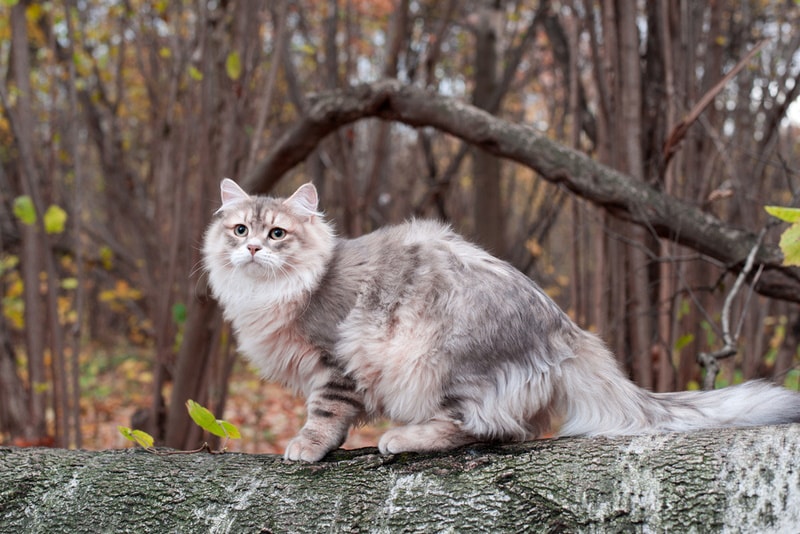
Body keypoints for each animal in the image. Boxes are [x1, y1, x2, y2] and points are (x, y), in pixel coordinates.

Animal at [202, 180, 800, 464]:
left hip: (441, 361)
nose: (252, 248)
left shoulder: (336, 358)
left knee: (491, 429)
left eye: (277, 234)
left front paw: (307, 446)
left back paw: (403, 438)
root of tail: (566, 329)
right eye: (239, 230)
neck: (270, 295)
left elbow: (325, 414)